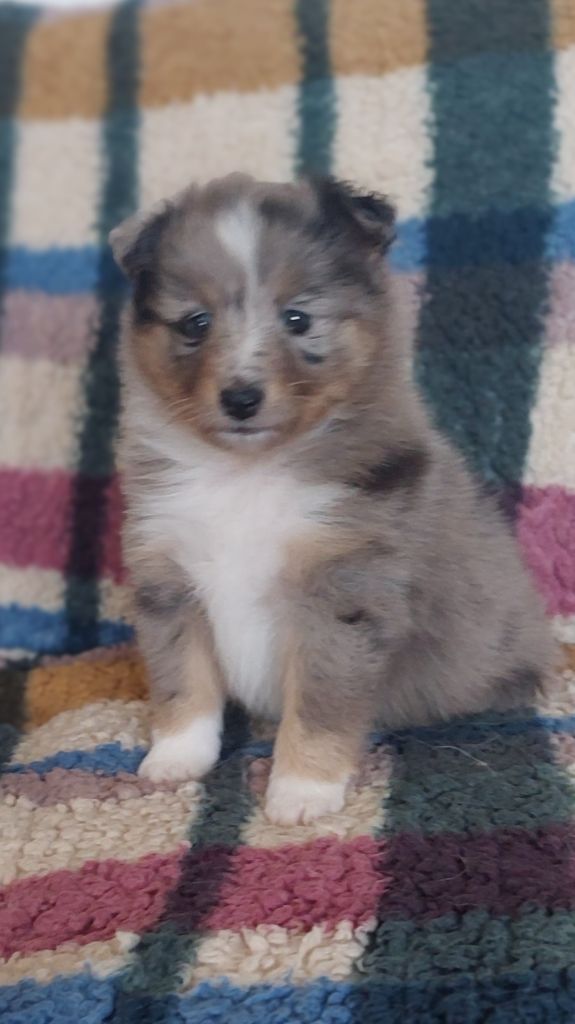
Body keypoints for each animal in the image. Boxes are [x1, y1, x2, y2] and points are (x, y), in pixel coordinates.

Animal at [110, 174, 551, 826]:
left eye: (298, 318)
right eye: (195, 323)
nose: (241, 398)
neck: (247, 472)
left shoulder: (345, 592)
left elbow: (320, 703)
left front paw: (301, 791)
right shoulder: (168, 577)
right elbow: (180, 677)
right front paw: (175, 758)